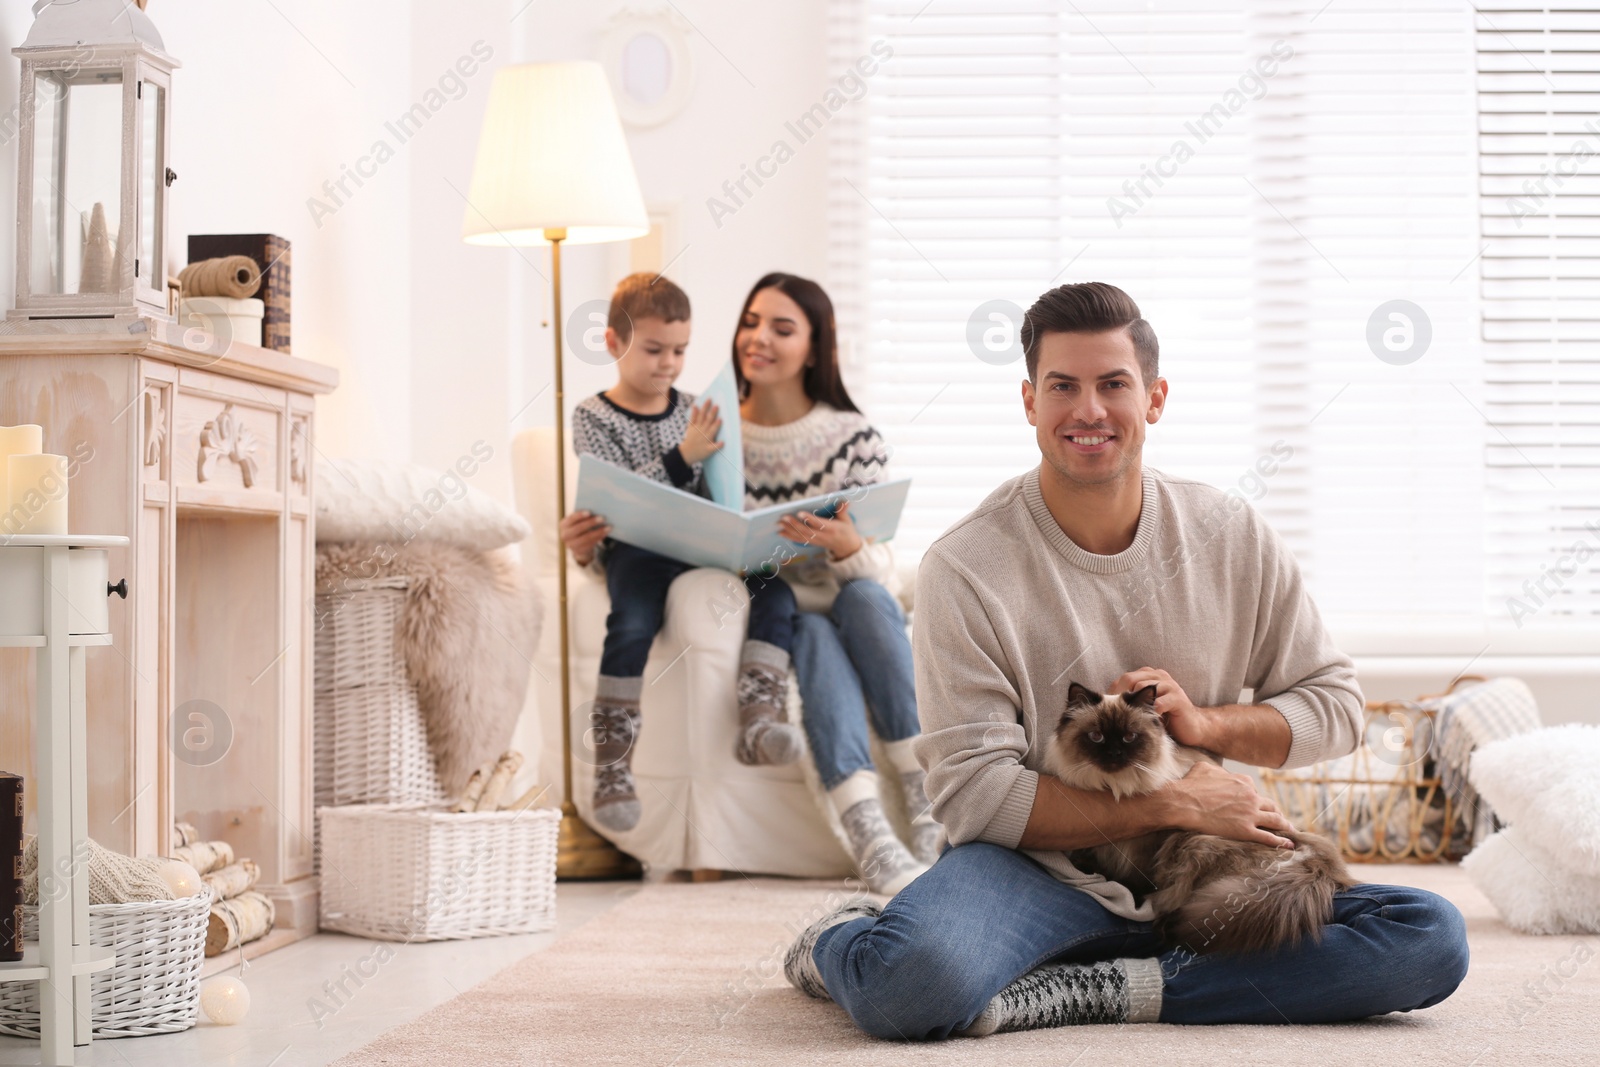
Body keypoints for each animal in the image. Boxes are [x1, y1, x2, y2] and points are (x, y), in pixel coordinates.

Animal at [1036, 684, 1350, 959]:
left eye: (1129, 737)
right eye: (1096, 737)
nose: (1114, 754)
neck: (1115, 788)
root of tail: (1312, 861)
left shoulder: (1150, 846)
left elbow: (1139, 878)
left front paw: (1131, 892)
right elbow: (1092, 858)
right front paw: (1092, 868)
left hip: (1193, 843)